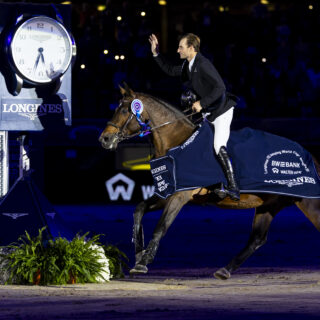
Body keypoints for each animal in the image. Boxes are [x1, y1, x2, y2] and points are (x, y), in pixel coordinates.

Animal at [98, 84, 320, 280]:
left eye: (125, 110)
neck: (177, 143)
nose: (105, 139)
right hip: (269, 205)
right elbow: (139, 210)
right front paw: (138, 255)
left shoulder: (180, 195)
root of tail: (310, 157)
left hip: (309, 203)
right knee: (257, 239)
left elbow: (162, 225)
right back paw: (224, 271)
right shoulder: (169, 192)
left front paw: (144, 262)